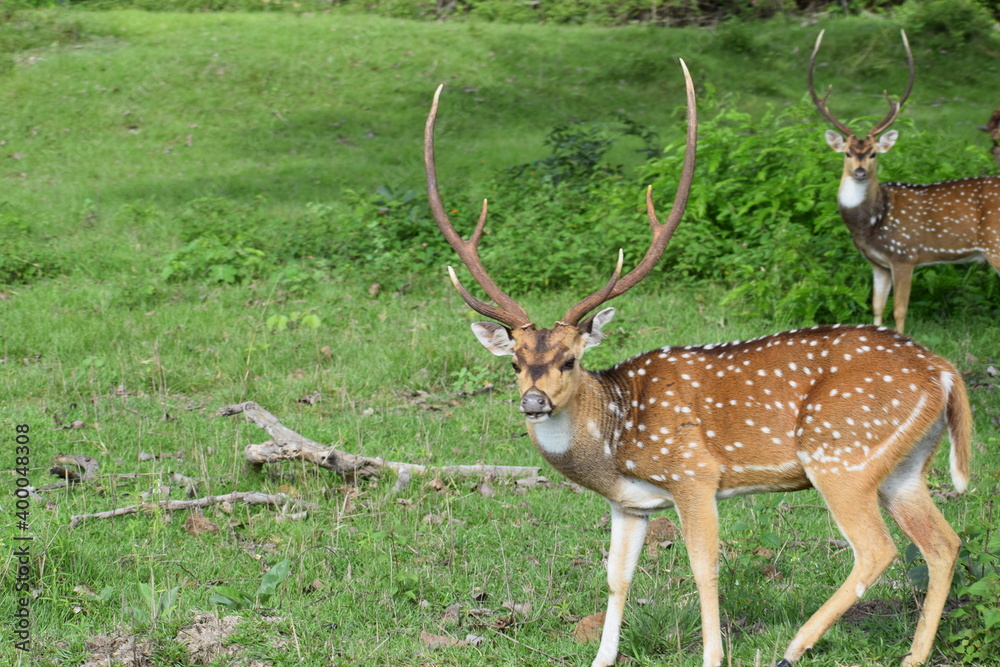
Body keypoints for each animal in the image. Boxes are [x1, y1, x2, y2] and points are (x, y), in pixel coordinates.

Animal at [424, 61, 972, 667]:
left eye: (569, 360)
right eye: (516, 362)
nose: (533, 400)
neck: (614, 441)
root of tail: (946, 372)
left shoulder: (694, 474)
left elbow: (704, 568)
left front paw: (713, 655)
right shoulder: (631, 505)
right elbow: (616, 577)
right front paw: (601, 657)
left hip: (841, 454)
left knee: (878, 550)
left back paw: (793, 647)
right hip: (903, 467)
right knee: (944, 543)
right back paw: (912, 655)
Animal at [809, 29, 1000, 334]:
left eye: (873, 153)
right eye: (848, 152)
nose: (860, 172)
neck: (869, 225)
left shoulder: (904, 254)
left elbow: (899, 311)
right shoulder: (878, 263)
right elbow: (876, 307)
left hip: (996, 244)